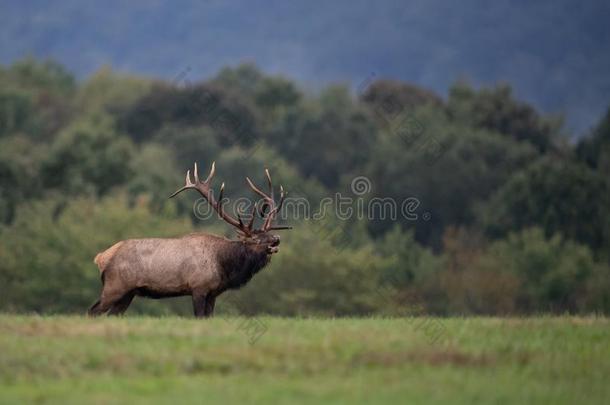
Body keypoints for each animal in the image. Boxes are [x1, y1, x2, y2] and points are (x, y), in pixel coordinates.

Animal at [88, 163, 290, 318]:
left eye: (268, 234)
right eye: (255, 238)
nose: (276, 238)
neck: (223, 266)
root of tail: (101, 257)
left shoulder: (213, 293)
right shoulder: (198, 287)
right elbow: (199, 316)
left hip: (128, 292)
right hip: (115, 286)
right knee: (93, 311)